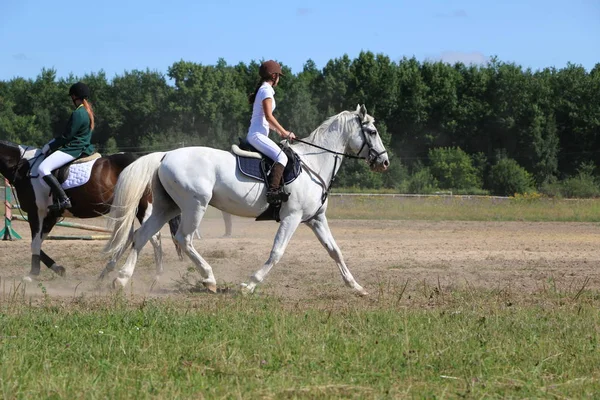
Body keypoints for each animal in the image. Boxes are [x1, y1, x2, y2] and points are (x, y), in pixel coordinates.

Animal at [0, 140, 179, 282]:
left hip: (143, 207)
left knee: (152, 236)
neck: (23, 167)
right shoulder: (50, 216)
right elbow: (37, 243)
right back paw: (106, 272)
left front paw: (32, 274)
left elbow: (35, 243)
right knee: (130, 236)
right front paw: (58, 269)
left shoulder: (36, 212)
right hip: (129, 208)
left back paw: (156, 276)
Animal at [104, 104, 390, 296]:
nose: (385, 162)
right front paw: (249, 284)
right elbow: (276, 252)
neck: (314, 163)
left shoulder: (316, 219)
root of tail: (165, 155)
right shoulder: (292, 217)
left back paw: (121, 279)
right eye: (373, 131)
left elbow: (335, 251)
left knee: (142, 236)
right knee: (183, 238)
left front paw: (356, 286)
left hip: (167, 207)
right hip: (195, 205)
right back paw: (209, 278)